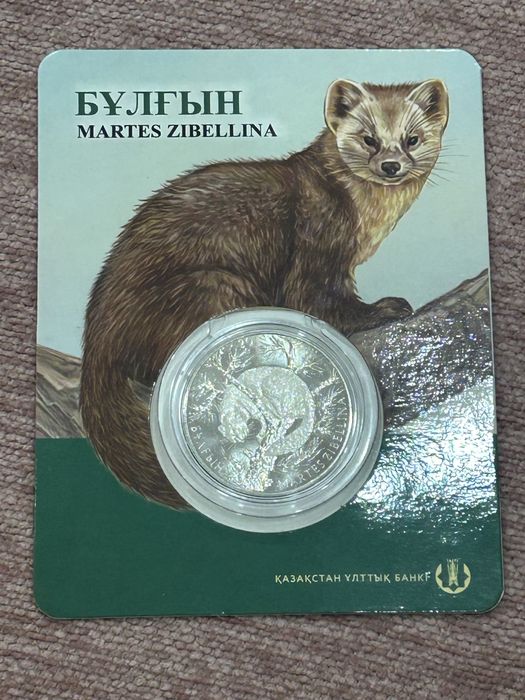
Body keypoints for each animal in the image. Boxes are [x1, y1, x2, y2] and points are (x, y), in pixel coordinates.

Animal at [80, 77, 449, 508]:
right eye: (368, 138)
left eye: (412, 138)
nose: (391, 165)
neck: (366, 221)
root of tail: (97, 335)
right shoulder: (316, 245)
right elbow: (320, 303)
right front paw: (386, 307)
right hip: (214, 285)